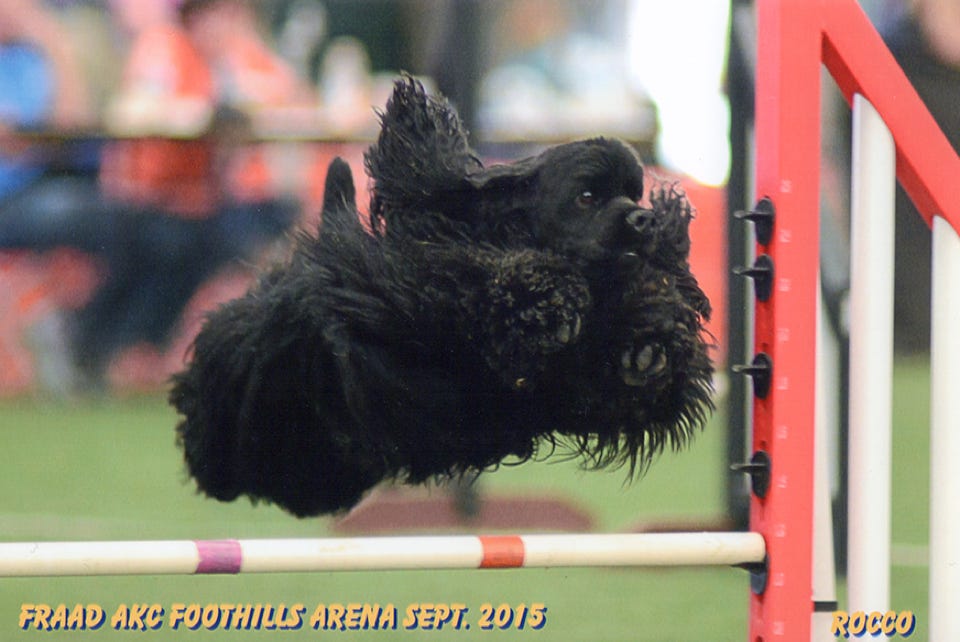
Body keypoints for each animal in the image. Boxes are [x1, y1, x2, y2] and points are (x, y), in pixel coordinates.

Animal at [171, 76, 712, 516]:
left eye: (634, 193)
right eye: (586, 198)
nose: (645, 220)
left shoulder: (572, 396)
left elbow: (624, 374)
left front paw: (647, 338)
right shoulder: (416, 291)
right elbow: (472, 278)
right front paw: (547, 298)